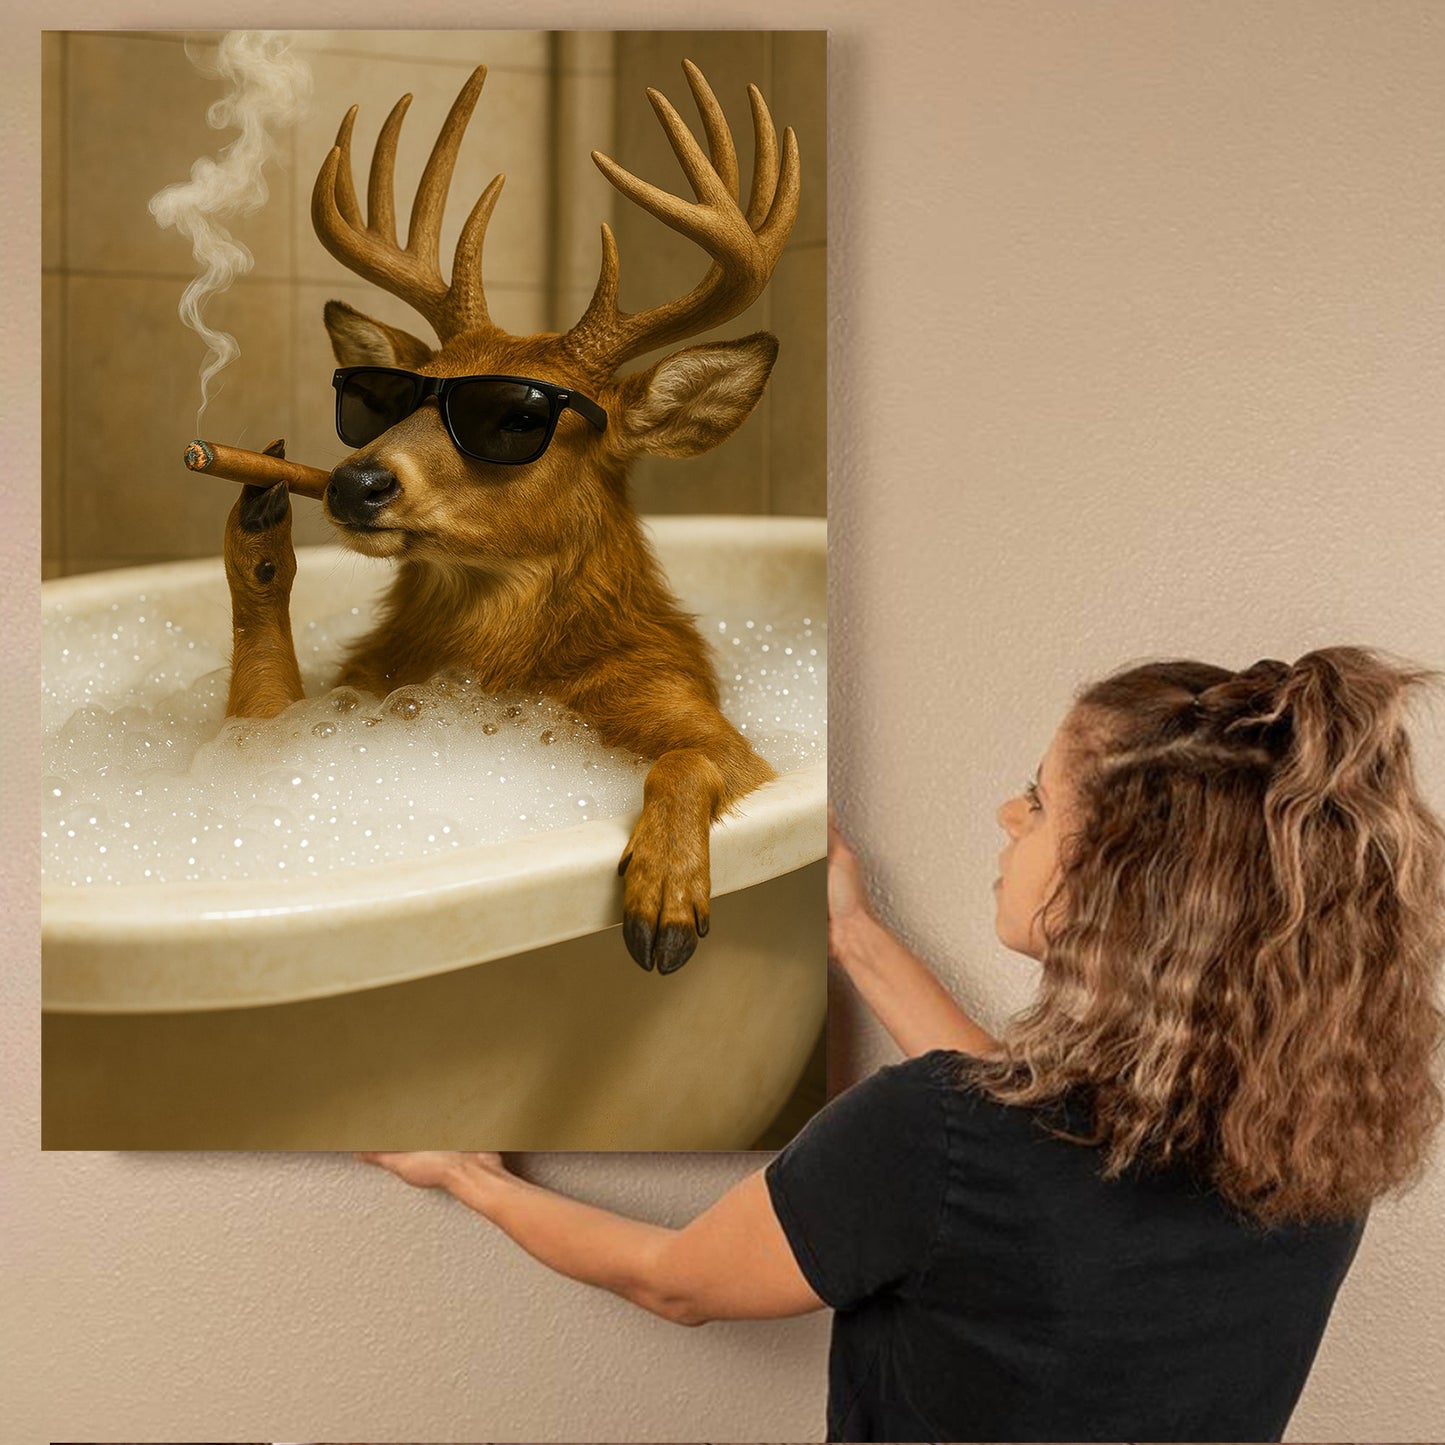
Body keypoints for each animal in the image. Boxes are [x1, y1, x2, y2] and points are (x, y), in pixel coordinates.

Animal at [217, 60, 801, 975]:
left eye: (518, 418)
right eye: (382, 398)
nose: (353, 481)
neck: (497, 662)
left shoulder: (713, 727)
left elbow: (686, 759)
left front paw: (665, 893)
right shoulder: (316, 714)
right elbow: (258, 695)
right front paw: (255, 521)